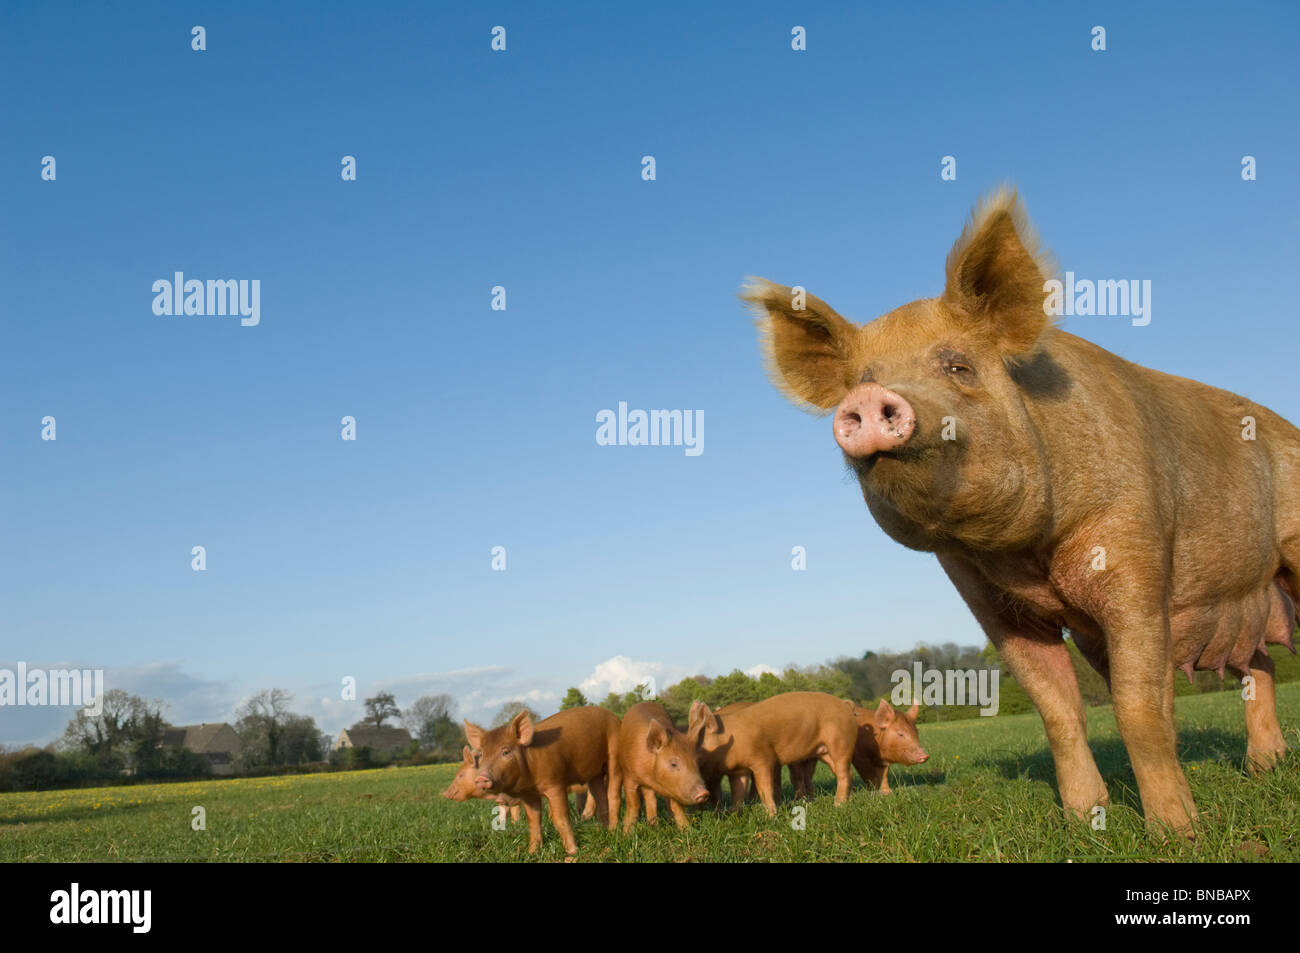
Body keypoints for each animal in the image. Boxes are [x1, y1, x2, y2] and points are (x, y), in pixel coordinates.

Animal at [748, 187, 1294, 832]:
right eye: (863, 378)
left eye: (958, 366)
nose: (867, 398)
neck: (1029, 552)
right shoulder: (988, 598)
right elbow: (1058, 709)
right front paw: (1085, 820)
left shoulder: (1138, 555)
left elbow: (1138, 708)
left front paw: (1176, 833)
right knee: (1258, 667)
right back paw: (1265, 768)